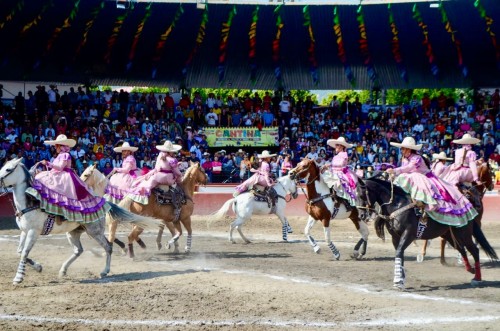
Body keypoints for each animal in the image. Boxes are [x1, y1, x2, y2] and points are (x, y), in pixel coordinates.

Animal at [0, 158, 162, 286]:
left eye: (8, 169)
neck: (29, 202)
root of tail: (103, 202)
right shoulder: (24, 231)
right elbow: (20, 251)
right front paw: (38, 267)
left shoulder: (33, 232)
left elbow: (24, 253)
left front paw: (18, 278)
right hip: (73, 232)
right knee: (79, 250)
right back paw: (63, 270)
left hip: (95, 231)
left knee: (108, 247)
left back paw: (104, 271)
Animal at [356, 176, 496, 290]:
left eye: (362, 195)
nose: (361, 215)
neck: (398, 204)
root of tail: (467, 206)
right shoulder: (395, 237)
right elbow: (399, 254)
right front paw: (401, 278)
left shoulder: (408, 234)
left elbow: (399, 252)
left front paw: (398, 281)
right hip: (450, 235)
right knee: (462, 249)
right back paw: (470, 269)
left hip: (464, 234)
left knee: (474, 250)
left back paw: (477, 278)